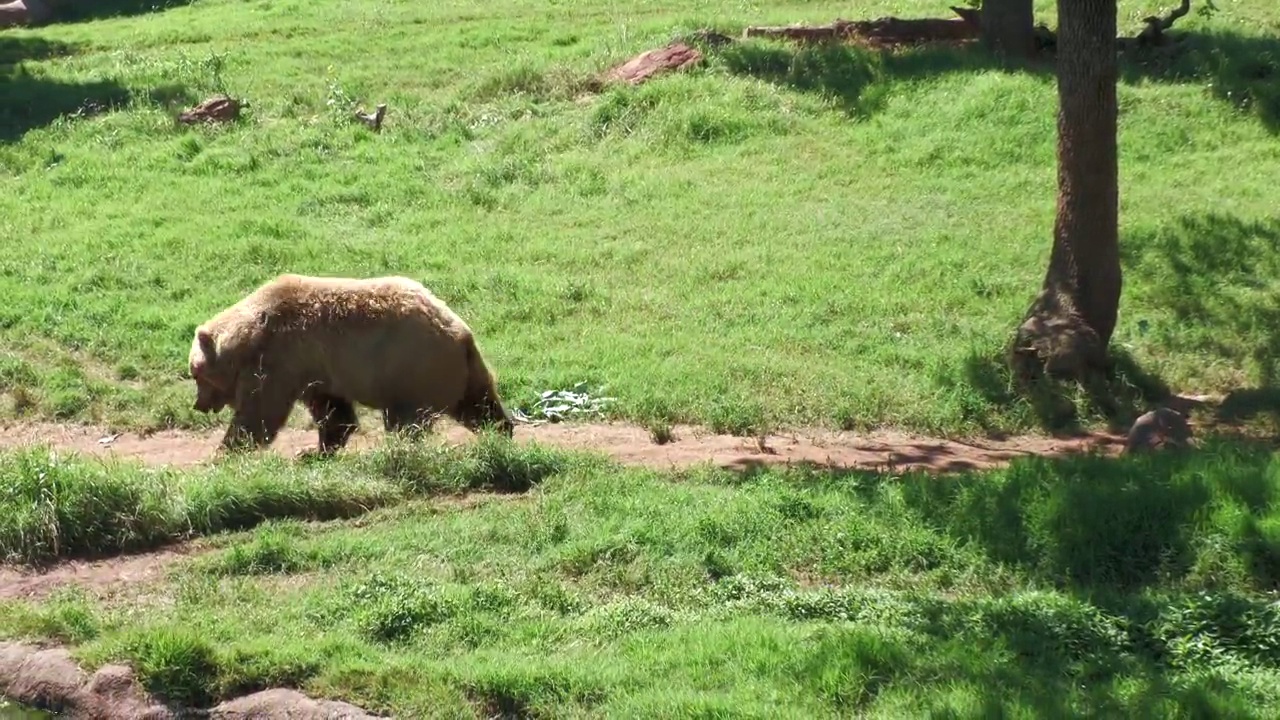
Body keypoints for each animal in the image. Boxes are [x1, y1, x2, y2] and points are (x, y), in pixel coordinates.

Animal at [186, 271, 514, 450]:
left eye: (195, 374)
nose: (198, 404)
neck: (249, 338)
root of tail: (460, 332)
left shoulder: (281, 359)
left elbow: (261, 412)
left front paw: (226, 450)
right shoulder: (315, 370)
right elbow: (334, 413)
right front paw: (315, 452)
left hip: (410, 370)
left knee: (406, 419)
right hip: (458, 370)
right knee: (477, 404)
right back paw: (501, 430)